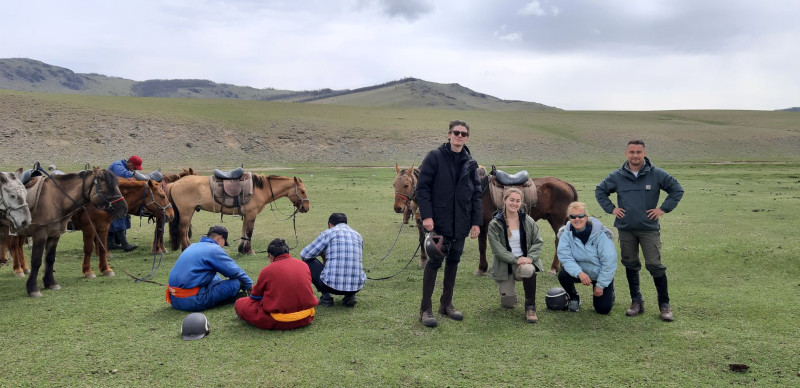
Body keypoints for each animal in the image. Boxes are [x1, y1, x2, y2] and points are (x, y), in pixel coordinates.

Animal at [1, 167, 127, 298]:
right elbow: (36, 261)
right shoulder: (40, 235)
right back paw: (18, 270)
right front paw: (33, 289)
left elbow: (50, 259)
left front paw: (50, 283)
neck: (55, 199)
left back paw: (24, 269)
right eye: (110, 187)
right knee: (14, 248)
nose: (124, 209)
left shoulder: (55, 235)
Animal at [168, 173, 310, 255]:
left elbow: (244, 232)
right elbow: (249, 233)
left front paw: (242, 250)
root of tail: (174, 183)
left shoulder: (246, 215)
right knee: (182, 231)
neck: (260, 189)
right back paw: (186, 249)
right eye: (302, 191)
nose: (306, 207)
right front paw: (249, 251)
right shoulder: (251, 215)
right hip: (186, 213)